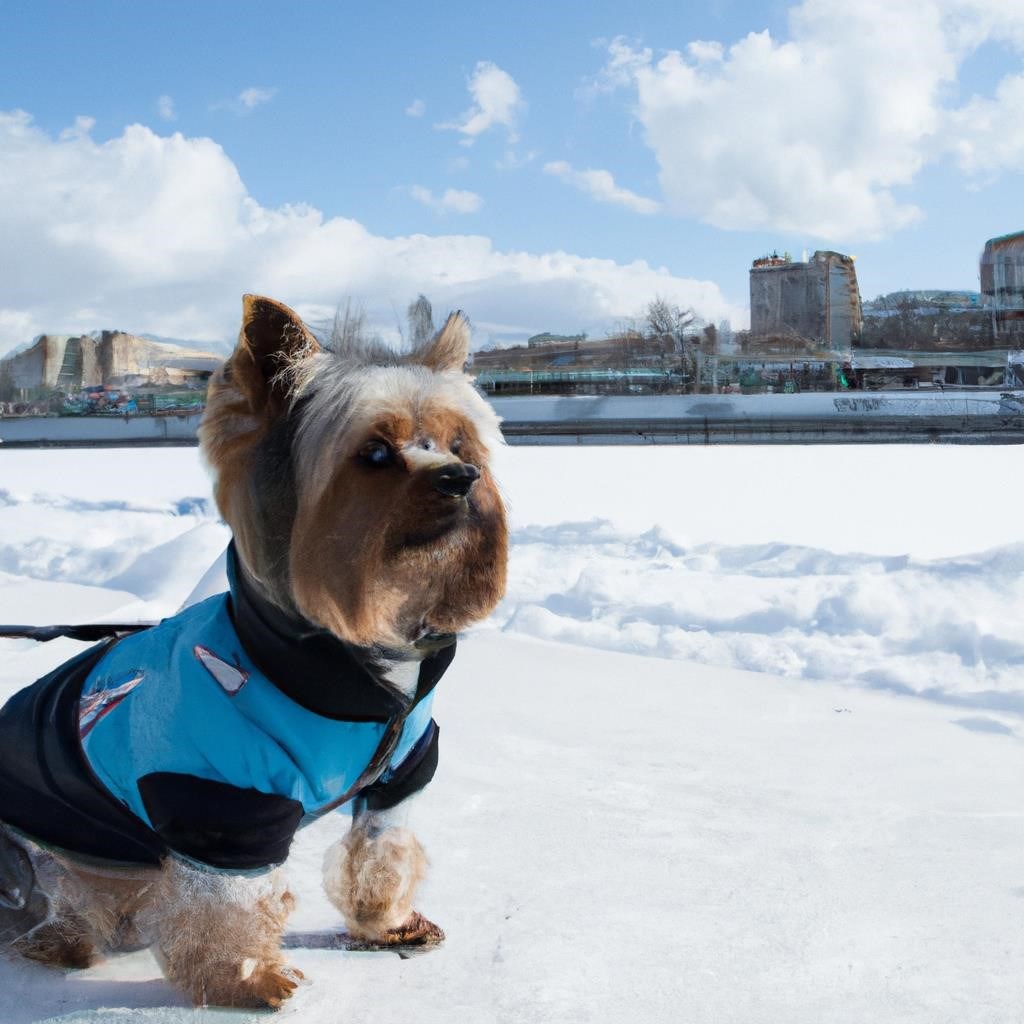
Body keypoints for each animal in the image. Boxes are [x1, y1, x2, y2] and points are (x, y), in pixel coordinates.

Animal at [0, 294, 507, 1007]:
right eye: (376, 453)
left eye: (459, 444)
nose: (462, 477)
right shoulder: (218, 803)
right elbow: (229, 904)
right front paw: (248, 977)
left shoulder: (401, 777)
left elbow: (380, 852)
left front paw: (387, 925)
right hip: (47, 854)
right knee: (58, 901)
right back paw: (63, 941)